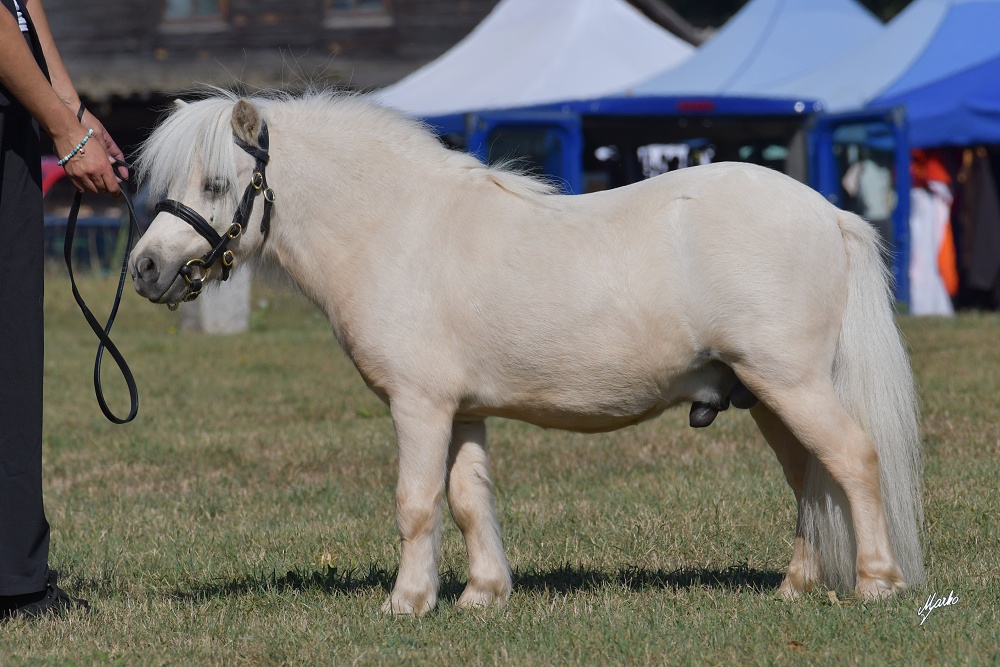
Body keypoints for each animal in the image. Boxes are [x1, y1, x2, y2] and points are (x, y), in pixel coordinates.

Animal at [129, 90, 924, 616]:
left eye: (217, 183)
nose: (145, 267)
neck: (396, 228)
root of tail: (826, 212)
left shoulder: (419, 406)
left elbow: (416, 502)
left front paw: (407, 602)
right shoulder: (460, 411)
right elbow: (468, 498)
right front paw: (482, 594)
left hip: (792, 385)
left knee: (853, 459)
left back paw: (877, 582)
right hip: (765, 396)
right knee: (810, 479)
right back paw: (796, 586)